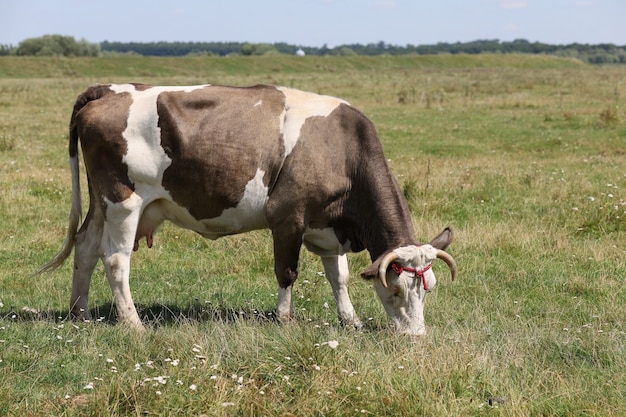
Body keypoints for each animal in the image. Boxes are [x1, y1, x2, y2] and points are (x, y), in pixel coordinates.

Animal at [39, 83, 456, 334]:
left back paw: (80, 314)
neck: (340, 146)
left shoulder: (327, 226)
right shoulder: (287, 218)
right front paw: (285, 320)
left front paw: (349, 319)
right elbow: (287, 272)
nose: (416, 337)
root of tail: (109, 90)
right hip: (123, 201)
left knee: (85, 248)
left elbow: (339, 277)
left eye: (429, 288)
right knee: (115, 260)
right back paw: (134, 324)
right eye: (397, 290)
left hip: (101, 205)